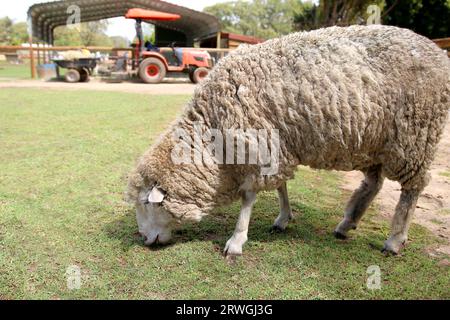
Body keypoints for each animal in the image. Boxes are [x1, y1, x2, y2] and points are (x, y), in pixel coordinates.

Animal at [126, 26, 450, 258]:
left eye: (146, 204)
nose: (144, 239)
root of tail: (436, 51)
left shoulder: (258, 143)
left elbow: (249, 197)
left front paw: (236, 241)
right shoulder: (276, 144)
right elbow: (280, 185)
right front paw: (283, 217)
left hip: (415, 136)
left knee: (412, 188)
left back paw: (394, 240)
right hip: (374, 141)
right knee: (374, 183)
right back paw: (347, 224)